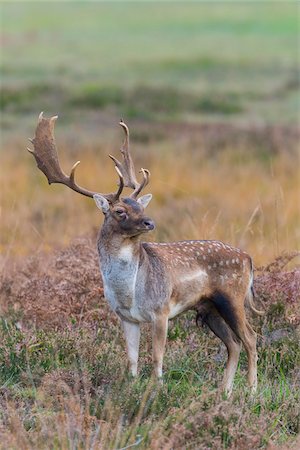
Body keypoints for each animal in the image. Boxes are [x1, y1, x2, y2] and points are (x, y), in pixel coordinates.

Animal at [28, 113, 262, 398]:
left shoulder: (160, 311)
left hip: (232, 297)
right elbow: (132, 358)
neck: (129, 292)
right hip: (208, 307)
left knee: (250, 338)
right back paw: (224, 392)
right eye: (119, 210)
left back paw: (251, 391)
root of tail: (249, 259)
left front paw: (157, 389)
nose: (150, 222)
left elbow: (157, 356)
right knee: (234, 343)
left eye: (140, 205)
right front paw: (132, 388)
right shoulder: (126, 317)